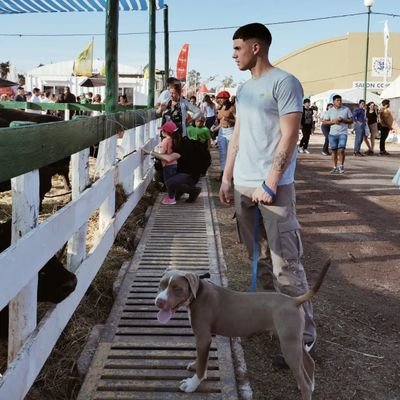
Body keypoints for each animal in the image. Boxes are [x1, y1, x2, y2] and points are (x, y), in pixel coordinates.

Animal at [154, 260, 332, 398]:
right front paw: (196, 365)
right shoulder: (204, 339)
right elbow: (202, 359)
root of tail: (295, 301)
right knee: (309, 362)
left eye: (177, 288)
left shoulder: (203, 337)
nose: (159, 302)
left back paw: (306, 387)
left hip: (289, 345)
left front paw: (192, 384)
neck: (198, 292)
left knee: (303, 377)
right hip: (296, 340)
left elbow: (201, 367)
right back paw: (311, 384)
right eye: (161, 285)